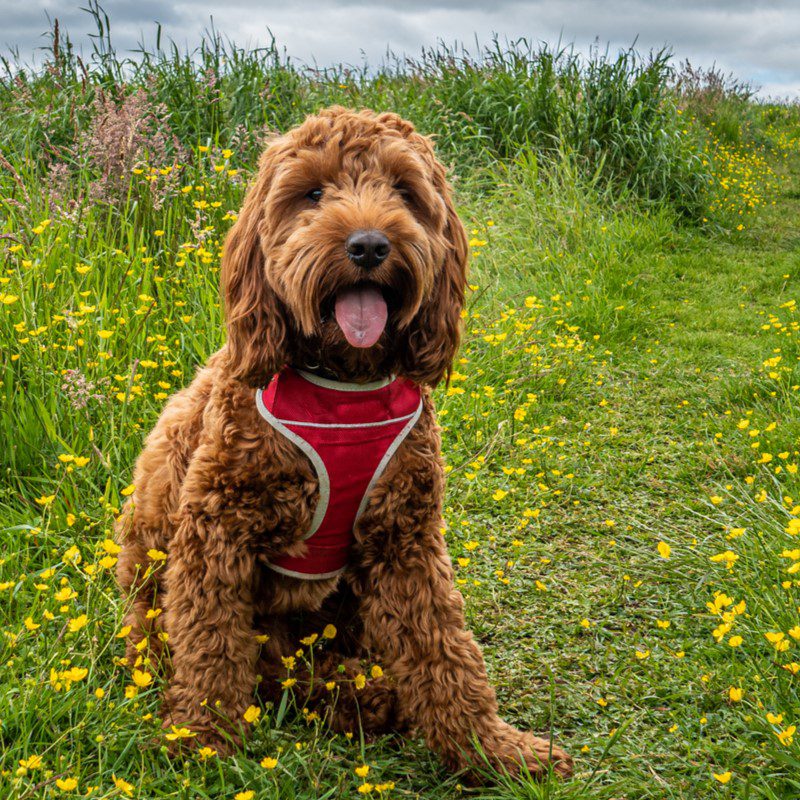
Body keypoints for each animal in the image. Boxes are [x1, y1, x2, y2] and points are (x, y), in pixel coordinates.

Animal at [115, 104, 572, 780]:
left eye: (404, 192)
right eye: (312, 194)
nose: (369, 245)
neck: (342, 382)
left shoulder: (405, 537)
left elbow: (445, 649)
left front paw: (490, 748)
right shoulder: (214, 533)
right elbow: (210, 647)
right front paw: (201, 740)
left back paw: (367, 692)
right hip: (154, 572)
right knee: (239, 663)